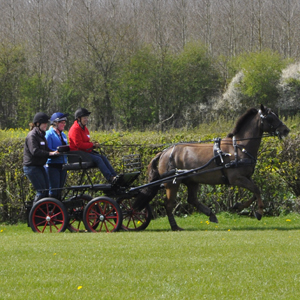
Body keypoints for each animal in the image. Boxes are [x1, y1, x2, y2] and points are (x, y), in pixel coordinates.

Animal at [132, 104, 290, 231]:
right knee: (169, 204)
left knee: (192, 200)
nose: (286, 130)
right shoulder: (236, 179)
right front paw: (259, 212)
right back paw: (175, 226)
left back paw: (211, 214)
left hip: (192, 181)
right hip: (172, 183)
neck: (239, 147)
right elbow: (256, 190)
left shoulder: (246, 177)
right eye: (270, 117)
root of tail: (165, 151)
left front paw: (238, 205)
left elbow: (255, 191)